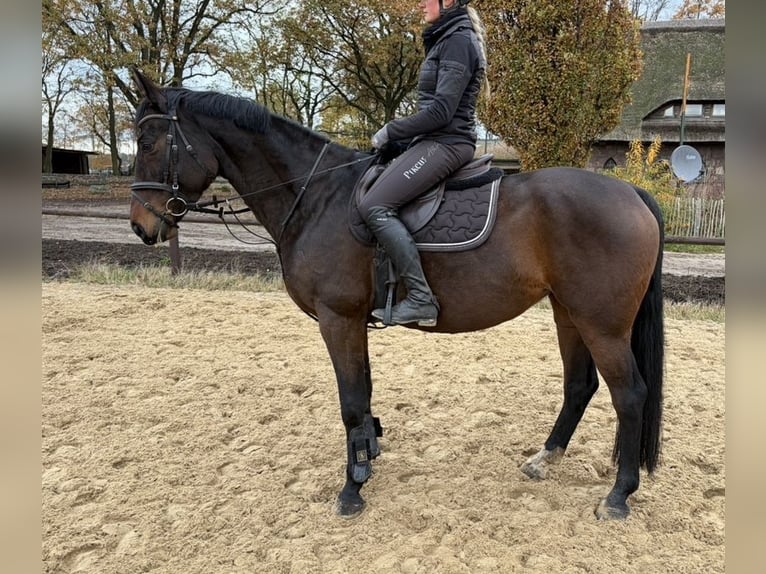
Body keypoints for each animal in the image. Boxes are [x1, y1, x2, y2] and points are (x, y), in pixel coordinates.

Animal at [128, 68, 664, 521]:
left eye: (148, 142)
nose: (140, 226)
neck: (316, 196)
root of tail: (631, 193)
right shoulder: (351, 322)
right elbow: (363, 395)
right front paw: (368, 457)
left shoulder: (338, 318)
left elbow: (350, 401)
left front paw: (351, 488)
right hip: (569, 313)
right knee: (580, 386)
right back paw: (544, 459)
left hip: (602, 324)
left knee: (630, 394)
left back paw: (619, 495)